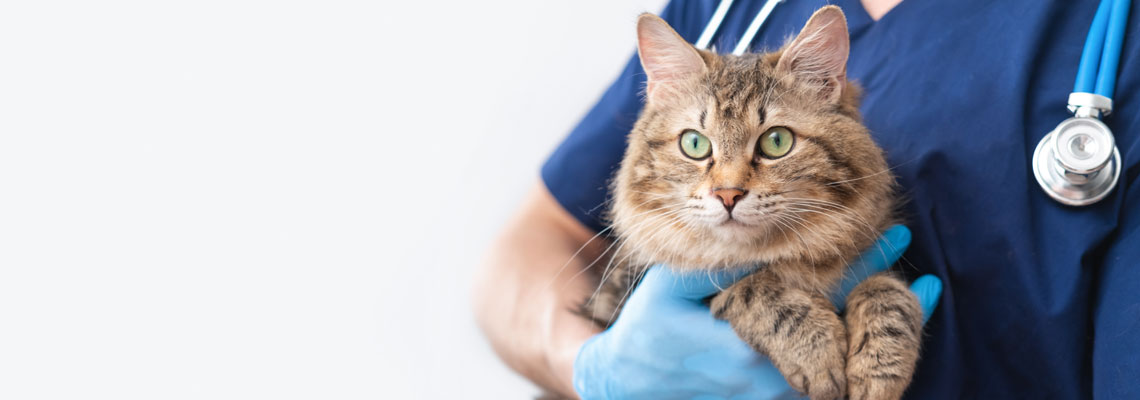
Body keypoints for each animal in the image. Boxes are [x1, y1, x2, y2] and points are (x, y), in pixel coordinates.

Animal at [583, 6, 921, 400]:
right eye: (694, 144)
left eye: (777, 142)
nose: (728, 194)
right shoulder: (635, 286)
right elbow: (752, 289)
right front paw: (817, 352)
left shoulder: (872, 254)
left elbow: (886, 292)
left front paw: (879, 368)